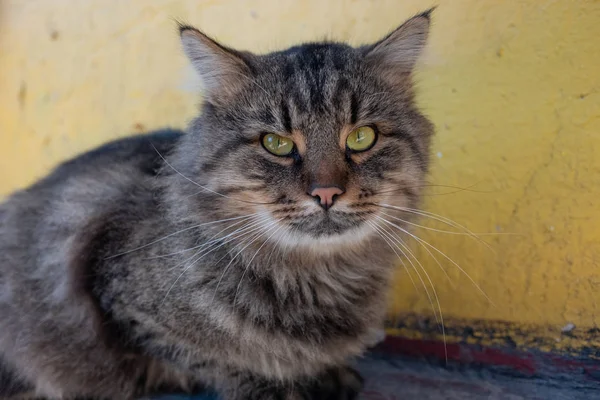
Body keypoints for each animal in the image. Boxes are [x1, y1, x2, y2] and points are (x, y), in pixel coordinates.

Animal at [0, 8, 434, 400]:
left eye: (362, 137)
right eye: (276, 144)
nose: (326, 193)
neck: (315, 278)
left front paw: (326, 375)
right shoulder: (125, 306)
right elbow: (216, 360)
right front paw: (278, 387)